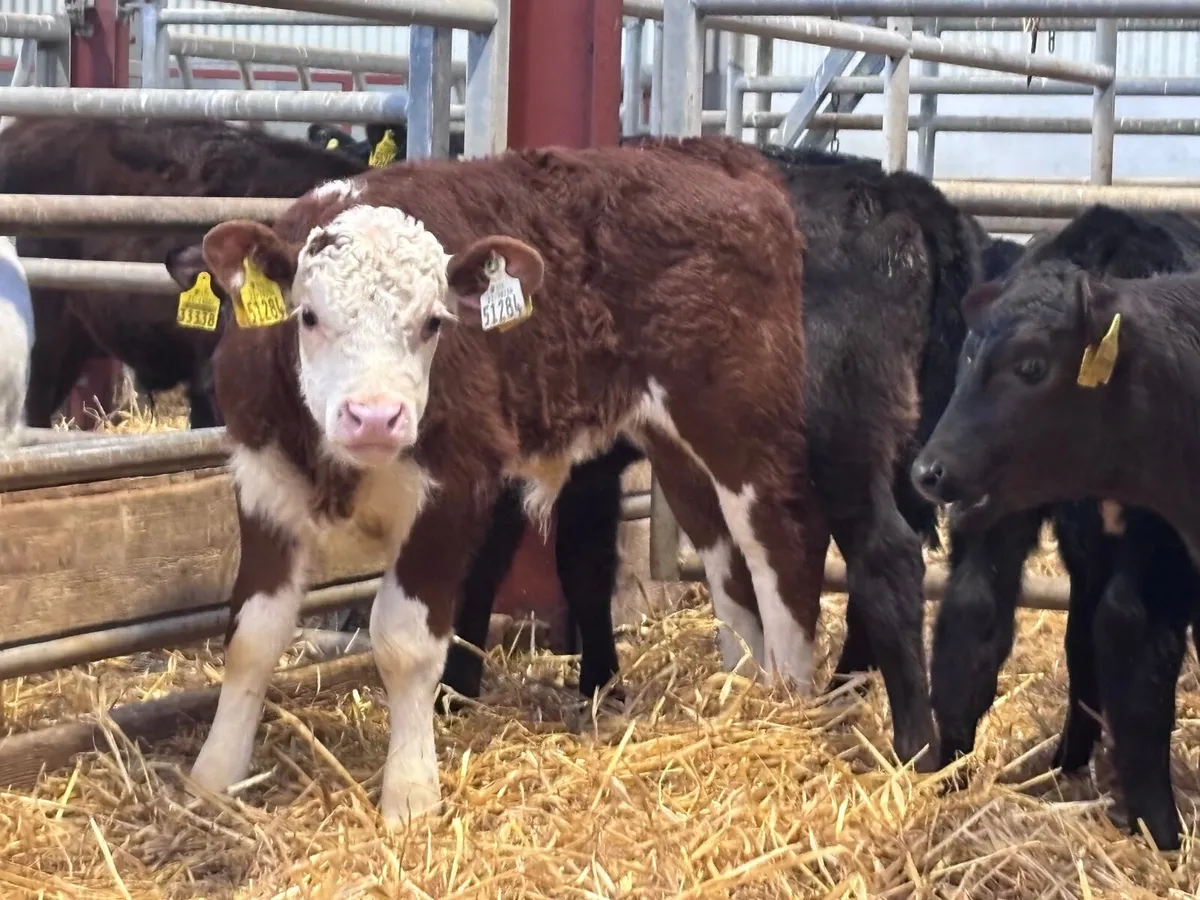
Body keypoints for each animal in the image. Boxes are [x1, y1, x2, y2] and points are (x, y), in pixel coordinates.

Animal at [165, 135, 851, 824]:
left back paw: (786, 697)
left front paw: (409, 794)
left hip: (740, 418)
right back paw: (742, 686)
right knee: (723, 553)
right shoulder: (264, 484)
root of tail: (723, 156)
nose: (375, 416)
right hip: (673, 441)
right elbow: (251, 636)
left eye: (435, 323)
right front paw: (213, 780)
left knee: (780, 539)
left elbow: (405, 641)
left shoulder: (454, 485)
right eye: (306, 316)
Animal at [914, 205, 1200, 851]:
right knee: (1124, 627)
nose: (929, 470)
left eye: (1028, 366)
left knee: (975, 610)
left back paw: (953, 774)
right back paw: (1155, 822)